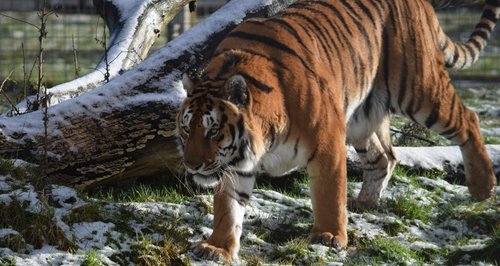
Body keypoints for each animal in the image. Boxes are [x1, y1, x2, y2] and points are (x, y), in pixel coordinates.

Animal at [178, 0, 498, 262]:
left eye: (213, 131)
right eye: (185, 130)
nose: (191, 165)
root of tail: (422, 4)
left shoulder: (327, 142)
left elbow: (328, 194)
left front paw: (329, 236)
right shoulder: (235, 166)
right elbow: (227, 208)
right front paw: (217, 247)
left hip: (419, 90)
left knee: (468, 119)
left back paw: (483, 186)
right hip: (361, 117)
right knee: (385, 156)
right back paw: (364, 204)